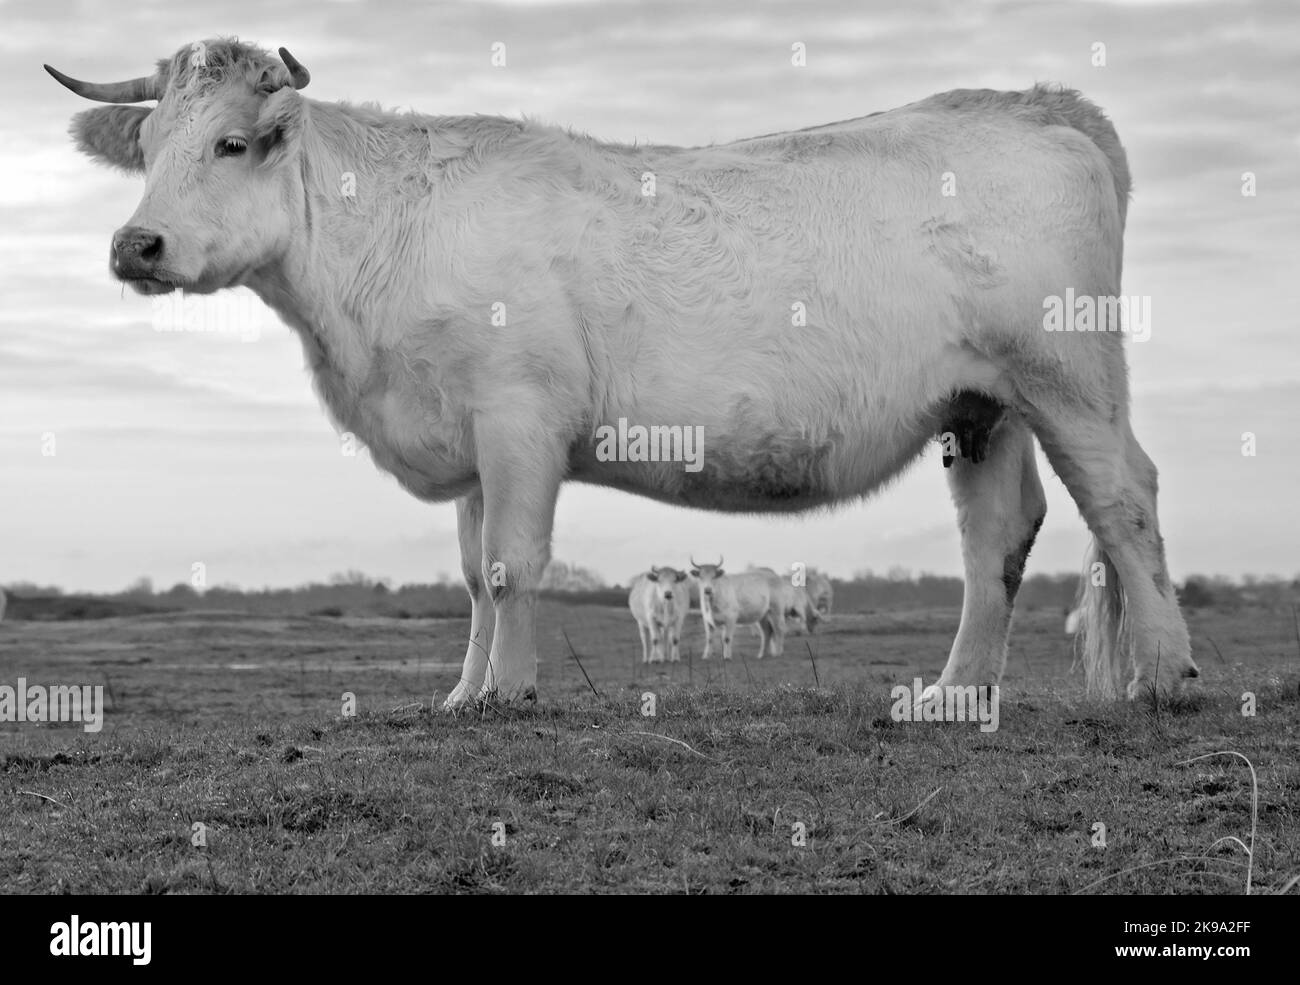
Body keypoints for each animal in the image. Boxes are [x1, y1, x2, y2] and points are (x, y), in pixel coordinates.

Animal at [48, 39, 1198, 707]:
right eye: (149, 144)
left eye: (234, 143)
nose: (136, 244)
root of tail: (1033, 101)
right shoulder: (467, 436)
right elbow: (472, 574)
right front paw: (464, 691)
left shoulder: (518, 417)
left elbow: (514, 565)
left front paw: (505, 696)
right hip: (983, 405)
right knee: (995, 538)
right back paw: (954, 697)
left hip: (1068, 377)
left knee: (1125, 498)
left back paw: (1169, 675)